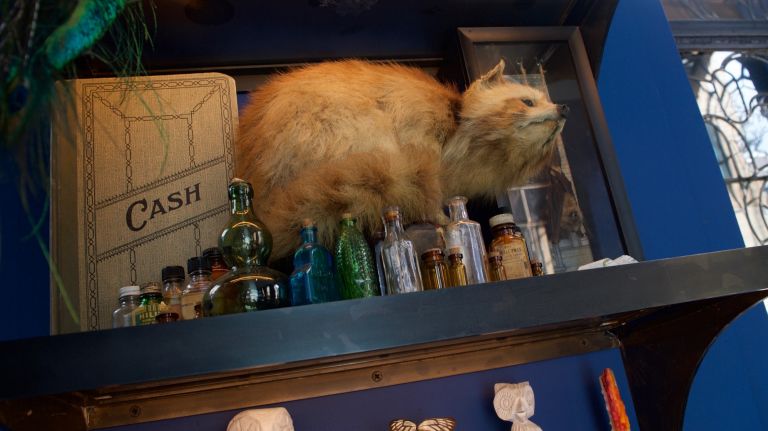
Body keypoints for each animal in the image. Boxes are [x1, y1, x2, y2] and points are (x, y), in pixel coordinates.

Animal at [237, 59, 568, 261]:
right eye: (527, 101)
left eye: (545, 100)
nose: (563, 107)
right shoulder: (417, 130)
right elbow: (426, 184)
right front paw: (441, 218)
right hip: (341, 129)